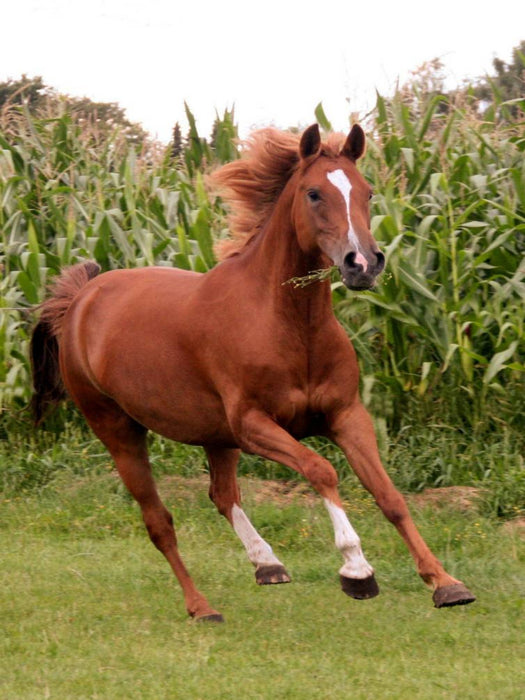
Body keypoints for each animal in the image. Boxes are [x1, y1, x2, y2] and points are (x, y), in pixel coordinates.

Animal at [30, 123, 475, 621]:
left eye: (368, 192)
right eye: (314, 193)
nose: (363, 264)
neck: (288, 326)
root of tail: (81, 298)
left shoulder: (346, 416)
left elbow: (389, 495)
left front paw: (446, 583)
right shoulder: (254, 425)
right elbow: (322, 470)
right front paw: (357, 570)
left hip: (214, 435)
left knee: (222, 495)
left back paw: (268, 565)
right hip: (119, 431)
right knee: (159, 522)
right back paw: (202, 607)